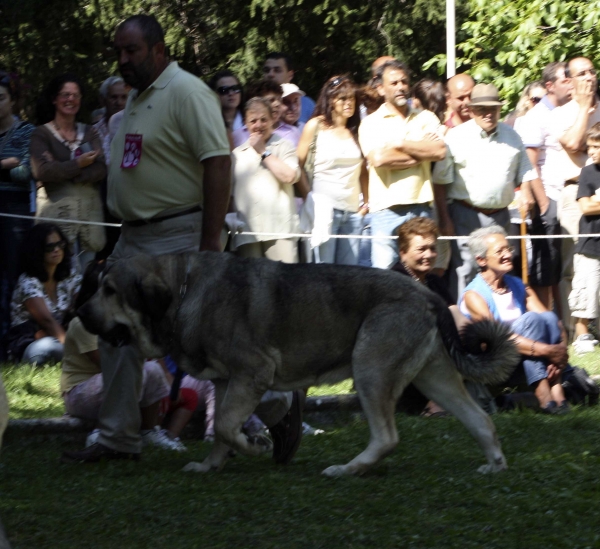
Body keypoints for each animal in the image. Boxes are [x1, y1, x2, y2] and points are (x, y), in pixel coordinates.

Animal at [78, 253, 520, 476]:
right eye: (98, 285)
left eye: (110, 290)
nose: (78, 313)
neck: (183, 290)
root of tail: (426, 293)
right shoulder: (225, 383)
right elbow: (220, 429)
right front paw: (210, 465)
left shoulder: (252, 374)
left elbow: (227, 427)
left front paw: (254, 447)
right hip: (433, 378)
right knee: (481, 421)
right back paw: (494, 466)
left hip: (370, 368)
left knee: (387, 438)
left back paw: (347, 469)